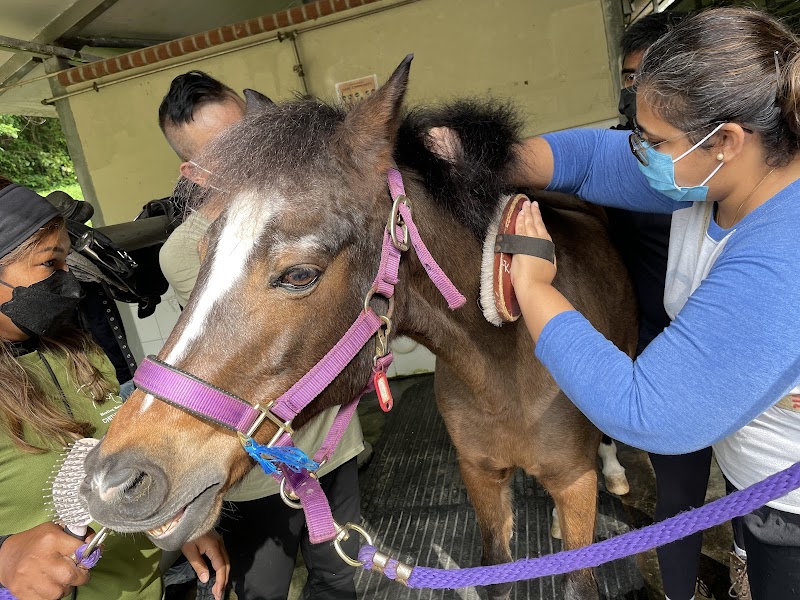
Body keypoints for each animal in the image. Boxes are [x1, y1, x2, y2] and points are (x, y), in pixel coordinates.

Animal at [80, 56, 637, 600]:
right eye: (200, 254)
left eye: (299, 274)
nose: (114, 482)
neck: (504, 362)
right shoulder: (479, 476)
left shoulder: (573, 482)